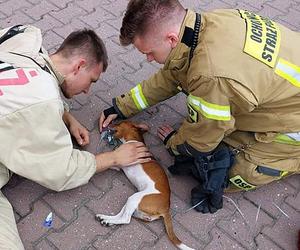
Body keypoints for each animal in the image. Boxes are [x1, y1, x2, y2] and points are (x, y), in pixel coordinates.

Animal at [96, 120, 195, 249]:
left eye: (119, 122)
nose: (110, 123)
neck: (134, 139)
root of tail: (166, 209)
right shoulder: (119, 166)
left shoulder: (120, 163)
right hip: (133, 202)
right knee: (122, 215)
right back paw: (106, 219)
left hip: (136, 197)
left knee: (126, 219)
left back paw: (108, 220)